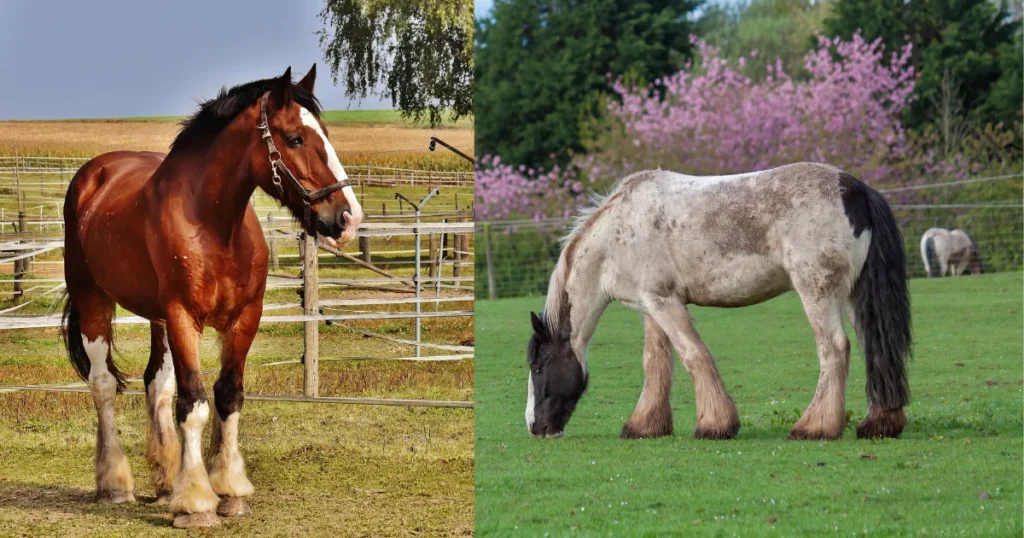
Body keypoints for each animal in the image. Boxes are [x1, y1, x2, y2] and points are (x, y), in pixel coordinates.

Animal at [60, 65, 364, 524]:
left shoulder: (243, 318)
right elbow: (195, 404)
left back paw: (165, 481)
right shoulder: (184, 317)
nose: (348, 219)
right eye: (295, 138)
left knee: (156, 384)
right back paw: (115, 484)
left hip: (157, 320)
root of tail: (93, 174)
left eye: (325, 133)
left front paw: (229, 491)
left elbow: (227, 396)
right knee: (103, 385)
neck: (215, 227)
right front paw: (196, 502)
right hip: (94, 299)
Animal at [528, 161, 913, 442]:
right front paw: (644, 426)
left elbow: (694, 356)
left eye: (537, 367)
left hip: (817, 291)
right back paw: (879, 424)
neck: (618, 233)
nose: (535, 427)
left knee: (834, 348)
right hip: (852, 295)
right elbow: (656, 364)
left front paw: (714, 425)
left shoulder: (663, 302)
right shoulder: (652, 306)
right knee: (875, 349)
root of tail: (855, 189)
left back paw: (814, 427)